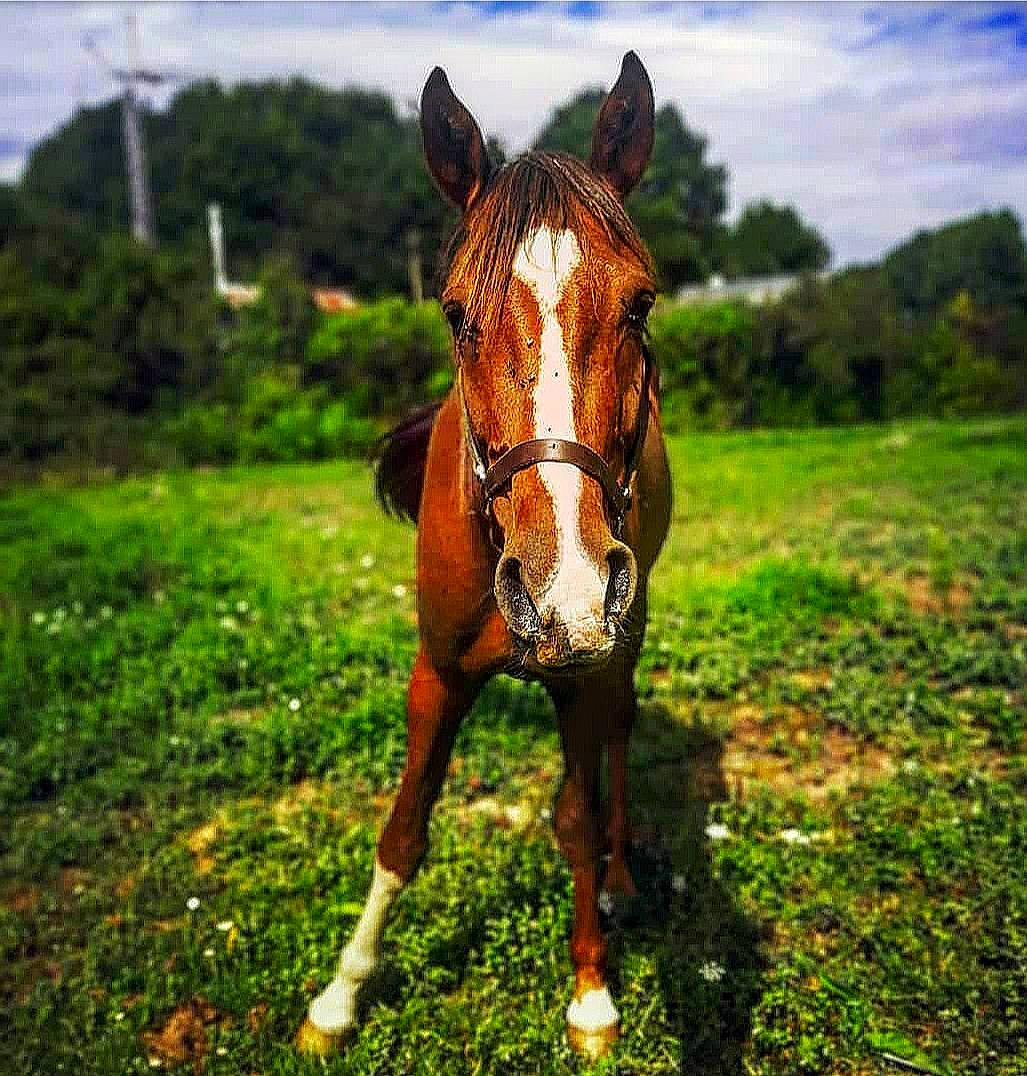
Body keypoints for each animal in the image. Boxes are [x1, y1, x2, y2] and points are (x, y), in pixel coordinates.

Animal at [297, 51, 671, 1061]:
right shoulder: (437, 672)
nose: (565, 592)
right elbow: (402, 832)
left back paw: (623, 882)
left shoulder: (590, 666)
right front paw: (339, 997)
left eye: (640, 303)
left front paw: (590, 991)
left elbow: (576, 818)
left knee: (621, 741)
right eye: (455, 311)